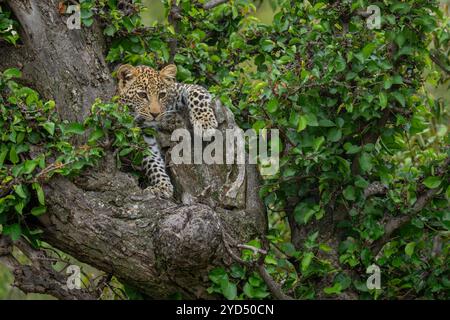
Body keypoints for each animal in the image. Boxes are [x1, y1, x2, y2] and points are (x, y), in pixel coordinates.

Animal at [116, 63, 218, 198]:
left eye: (162, 95)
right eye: (142, 95)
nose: (155, 114)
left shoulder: (178, 89)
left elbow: (196, 92)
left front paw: (205, 122)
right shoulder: (143, 138)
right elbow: (152, 162)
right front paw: (162, 186)